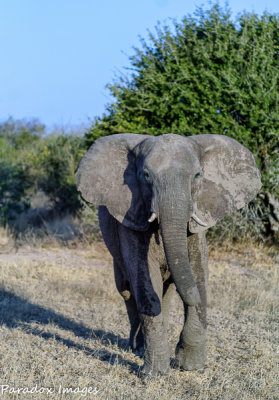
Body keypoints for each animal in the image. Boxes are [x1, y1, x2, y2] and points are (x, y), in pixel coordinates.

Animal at [75, 134, 262, 376]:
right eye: (145, 175)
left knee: (168, 292)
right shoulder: (132, 214)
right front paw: (154, 374)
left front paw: (189, 365)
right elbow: (145, 282)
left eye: (198, 175)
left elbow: (199, 272)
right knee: (127, 290)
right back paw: (137, 347)